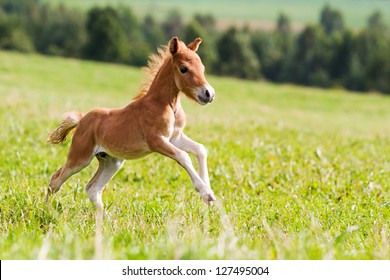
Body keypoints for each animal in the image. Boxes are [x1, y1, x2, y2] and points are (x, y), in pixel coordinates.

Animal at [46, 36, 216, 208]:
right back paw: (47, 209)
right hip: (80, 158)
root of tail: (81, 119)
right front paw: (206, 193)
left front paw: (207, 189)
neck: (166, 104)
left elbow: (200, 149)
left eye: (202, 67)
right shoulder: (156, 140)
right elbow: (183, 156)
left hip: (112, 161)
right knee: (55, 180)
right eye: (183, 68)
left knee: (93, 188)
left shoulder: (175, 137)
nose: (208, 94)